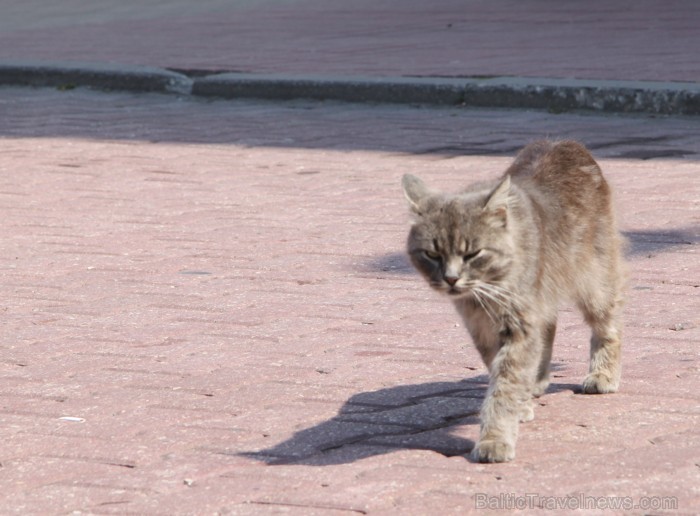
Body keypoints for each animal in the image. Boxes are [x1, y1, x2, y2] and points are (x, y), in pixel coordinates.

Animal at [402, 140, 628, 464]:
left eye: (473, 253)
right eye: (432, 254)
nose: (451, 279)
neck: (487, 291)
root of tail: (562, 142)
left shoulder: (519, 323)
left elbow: (506, 382)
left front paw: (494, 439)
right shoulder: (483, 329)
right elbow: (502, 370)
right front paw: (518, 406)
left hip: (595, 281)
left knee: (608, 327)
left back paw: (602, 374)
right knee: (550, 327)